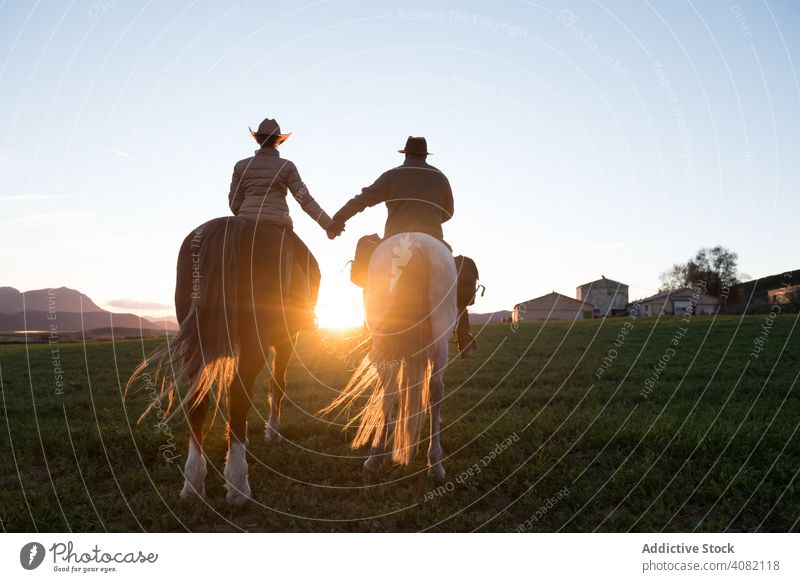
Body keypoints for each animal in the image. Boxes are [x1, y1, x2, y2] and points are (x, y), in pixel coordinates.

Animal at [126, 217, 304, 508]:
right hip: (256, 339)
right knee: (239, 395)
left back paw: (193, 483)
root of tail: (233, 224)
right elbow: (278, 386)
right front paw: (273, 433)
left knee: (198, 401)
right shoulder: (286, 340)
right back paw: (238, 484)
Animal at [320, 235, 456, 482]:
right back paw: (435, 463)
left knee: (389, 387)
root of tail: (416, 244)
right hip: (440, 335)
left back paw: (376, 456)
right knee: (435, 387)